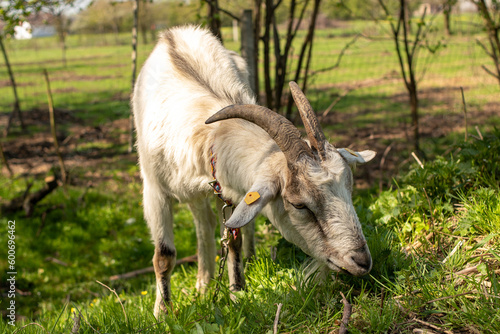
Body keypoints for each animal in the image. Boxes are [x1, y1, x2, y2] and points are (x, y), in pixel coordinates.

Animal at [133, 24, 376, 318]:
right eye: (299, 205)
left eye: (349, 189)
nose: (361, 261)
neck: (208, 131)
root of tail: (173, 32)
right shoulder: (154, 191)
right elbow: (164, 256)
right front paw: (162, 314)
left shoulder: (228, 190)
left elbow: (233, 239)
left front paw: (237, 294)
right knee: (203, 224)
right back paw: (203, 284)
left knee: (215, 225)